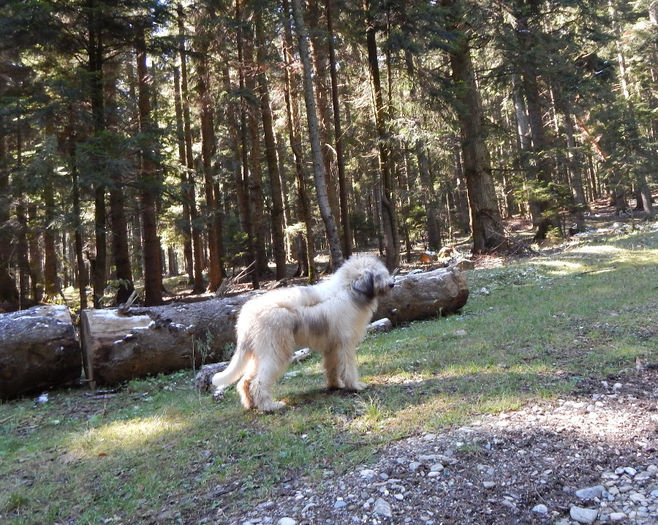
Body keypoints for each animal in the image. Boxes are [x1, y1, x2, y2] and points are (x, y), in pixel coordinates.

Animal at [211, 254, 394, 410]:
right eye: (378, 275)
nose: (392, 284)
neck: (349, 291)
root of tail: (247, 317)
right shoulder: (345, 344)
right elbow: (348, 368)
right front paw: (355, 386)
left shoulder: (332, 346)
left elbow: (332, 367)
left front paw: (335, 385)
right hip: (275, 350)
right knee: (258, 382)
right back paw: (269, 406)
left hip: (258, 354)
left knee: (245, 381)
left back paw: (250, 404)